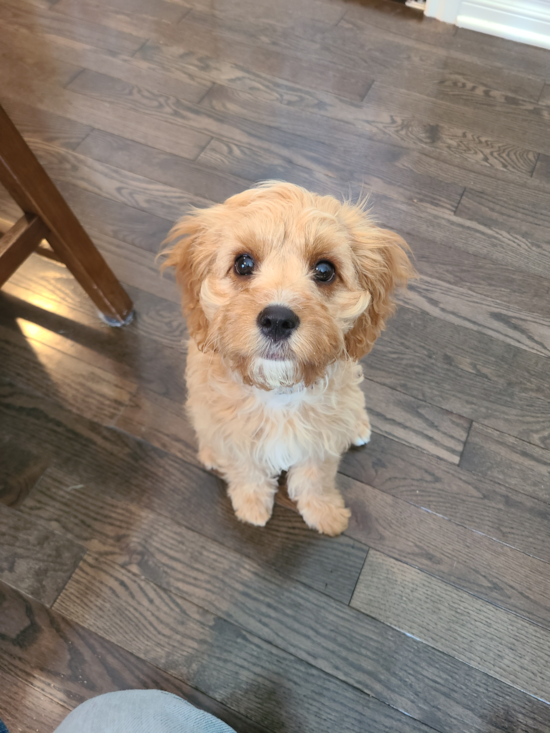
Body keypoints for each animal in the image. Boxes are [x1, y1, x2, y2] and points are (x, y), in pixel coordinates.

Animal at [164, 182, 414, 536]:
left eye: (324, 270)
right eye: (243, 264)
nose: (277, 320)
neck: (278, 392)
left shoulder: (320, 441)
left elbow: (316, 477)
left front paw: (324, 512)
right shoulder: (235, 435)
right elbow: (246, 469)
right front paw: (251, 505)